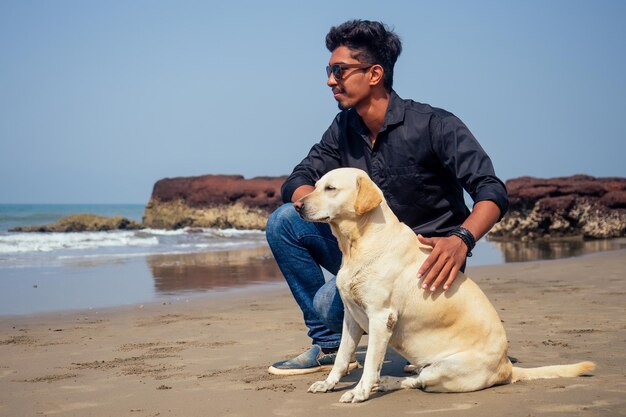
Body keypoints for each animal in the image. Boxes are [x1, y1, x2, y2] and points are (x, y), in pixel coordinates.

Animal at [298, 167, 596, 402]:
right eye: (315, 185)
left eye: (331, 188)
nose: (298, 205)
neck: (356, 244)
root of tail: (507, 368)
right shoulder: (351, 316)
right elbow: (341, 357)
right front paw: (328, 384)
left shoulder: (381, 317)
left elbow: (371, 362)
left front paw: (360, 392)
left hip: (445, 367)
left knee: (420, 381)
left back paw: (391, 382)